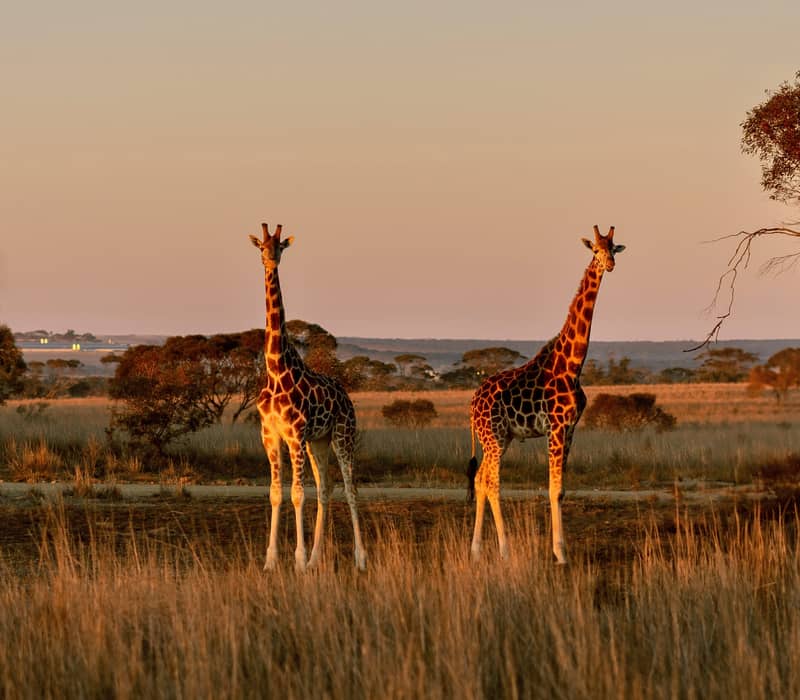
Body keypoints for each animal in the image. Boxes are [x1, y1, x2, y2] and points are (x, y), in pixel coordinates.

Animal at [250, 223, 367, 572]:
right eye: (261, 247)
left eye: (280, 247)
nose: (270, 260)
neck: (277, 370)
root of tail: (346, 397)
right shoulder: (270, 435)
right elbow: (276, 492)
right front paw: (271, 561)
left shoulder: (295, 435)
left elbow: (297, 493)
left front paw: (298, 561)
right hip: (320, 442)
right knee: (326, 488)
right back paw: (317, 558)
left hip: (342, 436)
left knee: (351, 488)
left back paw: (360, 558)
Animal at [468, 225, 625, 564]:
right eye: (595, 250)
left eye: (612, 249)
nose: (609, 265)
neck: (572, 365)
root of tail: (471, 405)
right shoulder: (556, 427)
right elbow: (554, 489)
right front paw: (560, 554)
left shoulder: (571, 429)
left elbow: (561, 489)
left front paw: (560, 550)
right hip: (493, 437)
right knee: (492, 483)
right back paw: (505, 550)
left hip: (501, 438)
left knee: (479, 480)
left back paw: (475, 550)